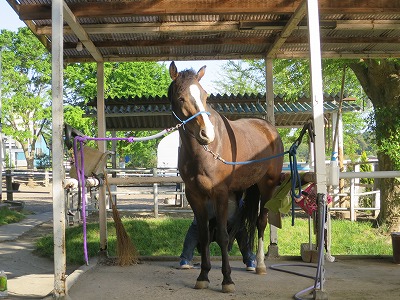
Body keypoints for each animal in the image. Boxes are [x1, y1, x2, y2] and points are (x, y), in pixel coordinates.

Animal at [169, 61, 284, 292]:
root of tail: (269, 128)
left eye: (205, 96)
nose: (207, 134)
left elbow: (222, 236)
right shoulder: (195, 196)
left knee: (261, 222)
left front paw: (227, 280)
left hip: (268, 186)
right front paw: (203, 276)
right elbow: (204, 236)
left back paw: (260, 265)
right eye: (180, 97)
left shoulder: (220, 193)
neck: (204, 152)